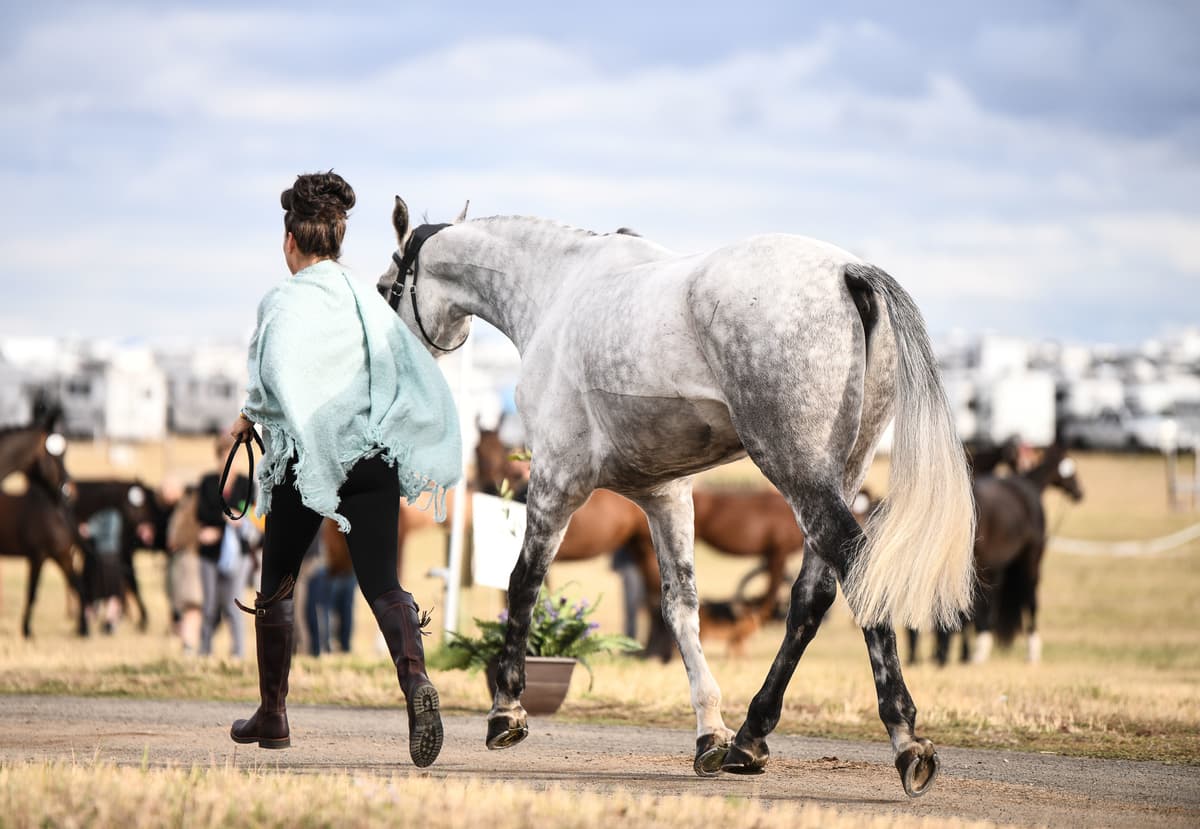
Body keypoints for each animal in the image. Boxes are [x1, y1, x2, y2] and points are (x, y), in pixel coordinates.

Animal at [378, 202, 975, 797]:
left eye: (386, 289)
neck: (558, 288)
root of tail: (848, 271)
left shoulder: (556, 479)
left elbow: (523, 582)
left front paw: (506, 709)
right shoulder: (665, 495)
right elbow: (680, 607)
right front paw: (710, 732)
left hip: (798, 473)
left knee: (855, 568)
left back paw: (906, 739)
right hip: (841, 475)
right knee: (812, 597)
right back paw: (750, 739)